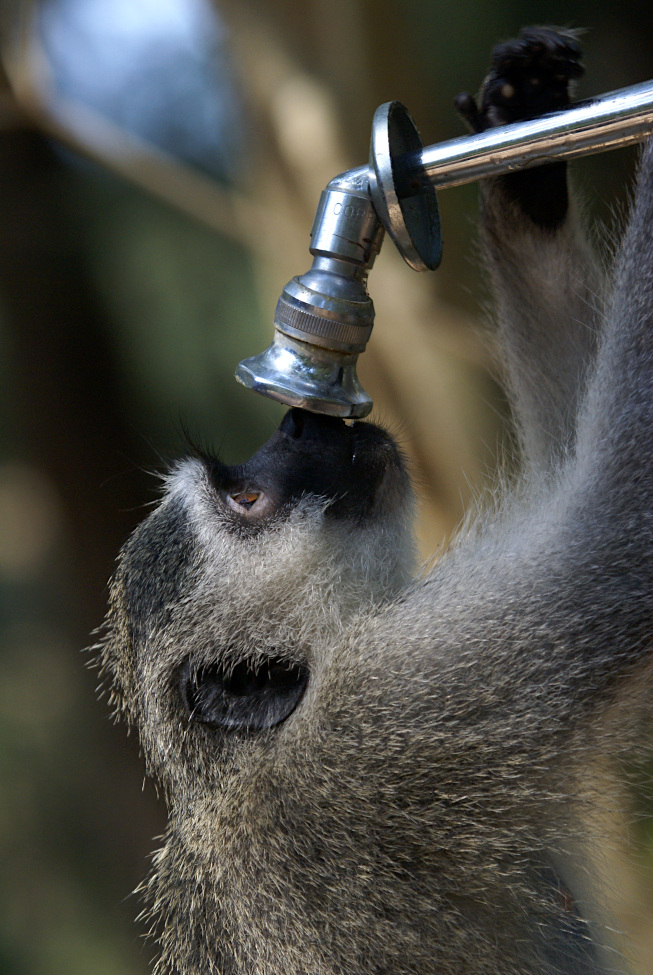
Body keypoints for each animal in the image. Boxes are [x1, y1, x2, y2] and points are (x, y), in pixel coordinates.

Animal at [99, 26, 652, 972]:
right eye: (246, 497)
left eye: (244, 469)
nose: (294, 422)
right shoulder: (393, 715)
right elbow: (614, 527)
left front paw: (523, 152)